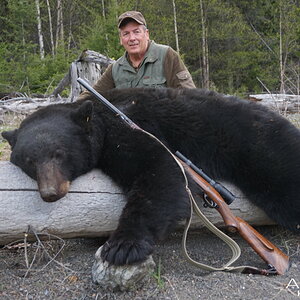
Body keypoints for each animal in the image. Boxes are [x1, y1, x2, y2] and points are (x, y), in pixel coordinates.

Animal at [2, 88, 300, 266]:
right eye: (29, 161)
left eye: (59, 153)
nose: (50, 193)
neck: (100, 117)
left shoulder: (132, 130)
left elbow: (160, 169)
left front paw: (123, 246)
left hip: (258, 145)